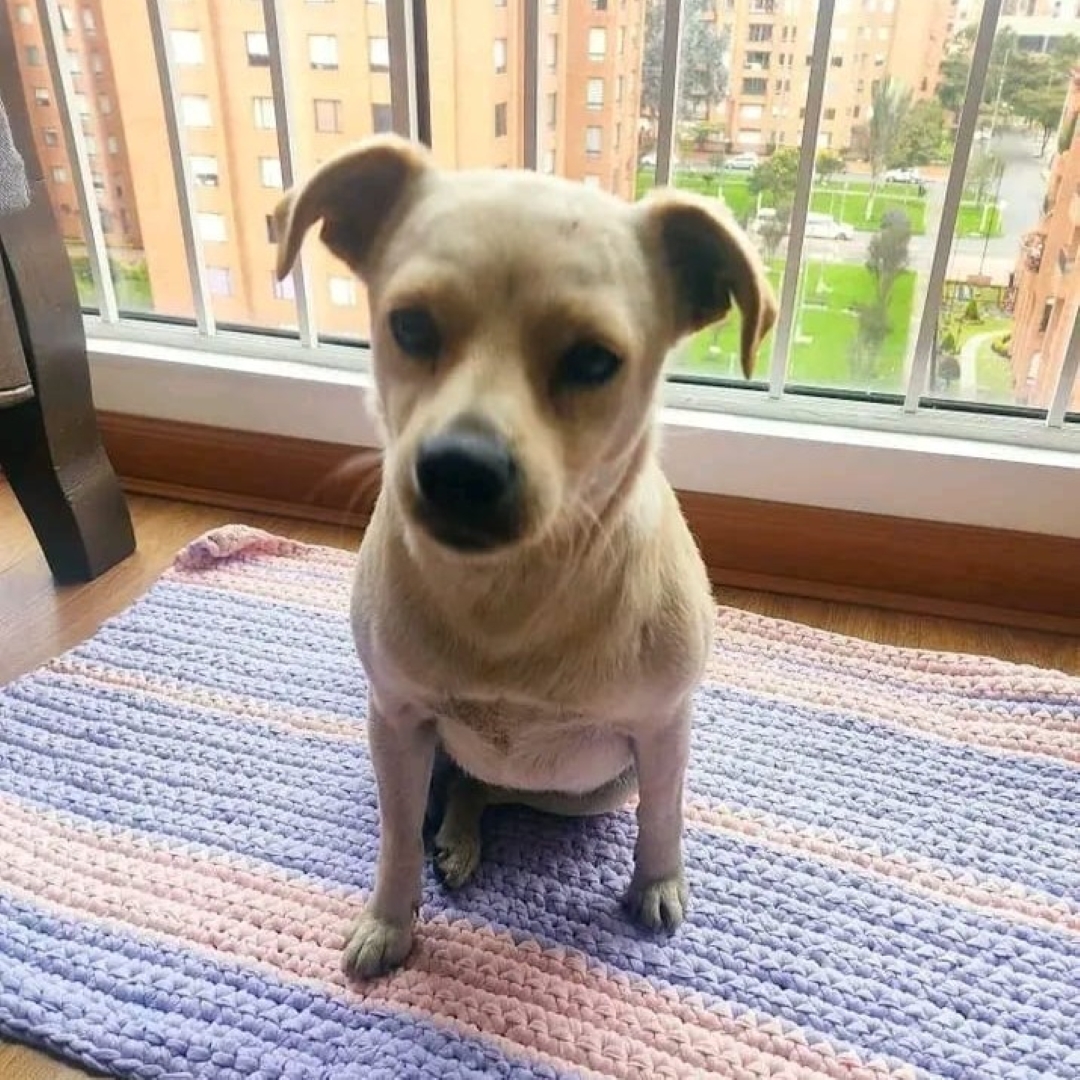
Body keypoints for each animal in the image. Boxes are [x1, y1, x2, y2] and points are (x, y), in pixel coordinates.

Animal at [273, 135, 776, 979]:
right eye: (409, 325)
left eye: (594, 360)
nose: (460, 468)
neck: (507, 593)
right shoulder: (396, 723)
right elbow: (393, 842)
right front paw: (390, 919)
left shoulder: (663, 730)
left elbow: (665, 815)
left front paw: (658, 880)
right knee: (463, 788)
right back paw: (453, 834)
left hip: (594, 783)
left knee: (500, 790)